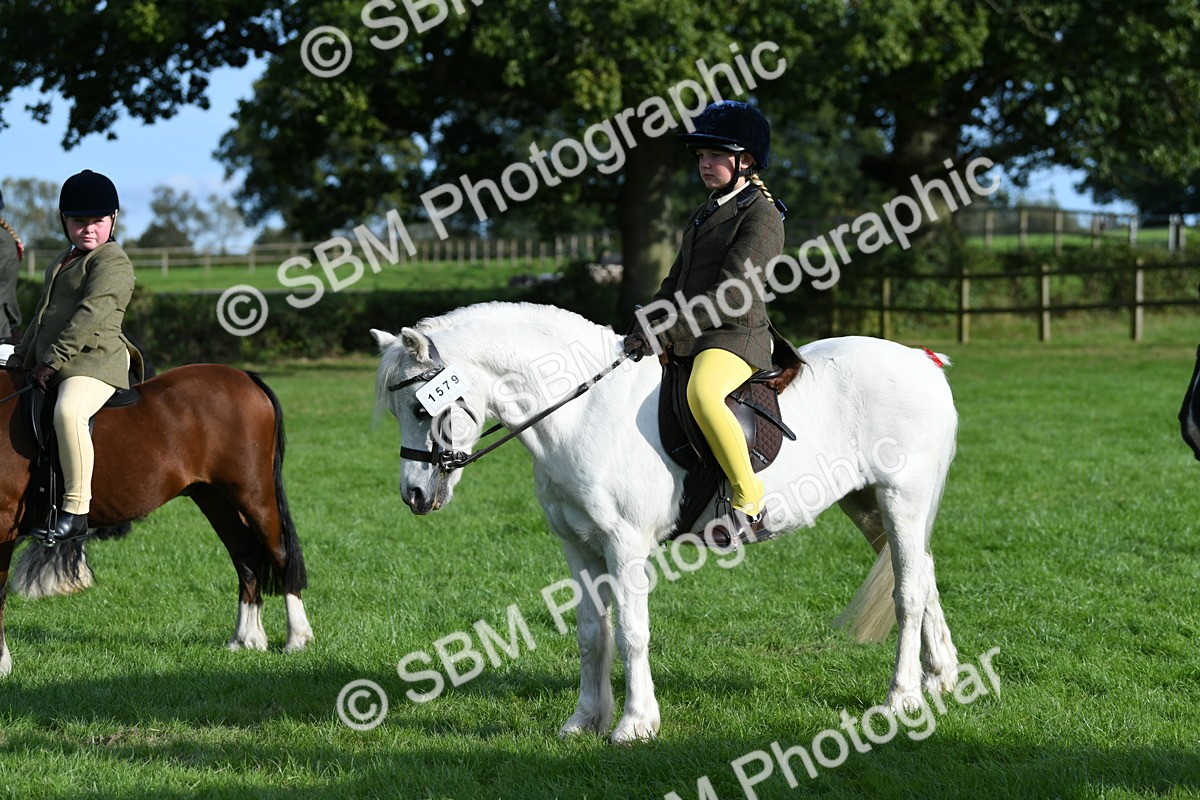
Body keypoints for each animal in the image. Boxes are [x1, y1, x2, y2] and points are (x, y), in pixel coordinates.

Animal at [0, 364, 314, 677]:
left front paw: (2, 663)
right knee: (245, 554)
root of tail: (245, 377)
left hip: (253, 493)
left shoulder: (4, 522)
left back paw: (297, 638)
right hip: (214, 497)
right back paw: (247, 638)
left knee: (279, 553)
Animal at [372, 301, 960, 743]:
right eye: (400, 411)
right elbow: (592, 633)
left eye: (422, 409)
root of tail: (921, 361)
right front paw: (585, 721)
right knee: (924, 575)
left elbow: (632, 631)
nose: (414, 494)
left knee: (908, 592)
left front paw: (635, 724)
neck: (584, 413)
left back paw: (902, 697)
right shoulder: (577, 545)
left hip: (902, 499)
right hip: (868, 505)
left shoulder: (624, 543)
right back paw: (942, 679)